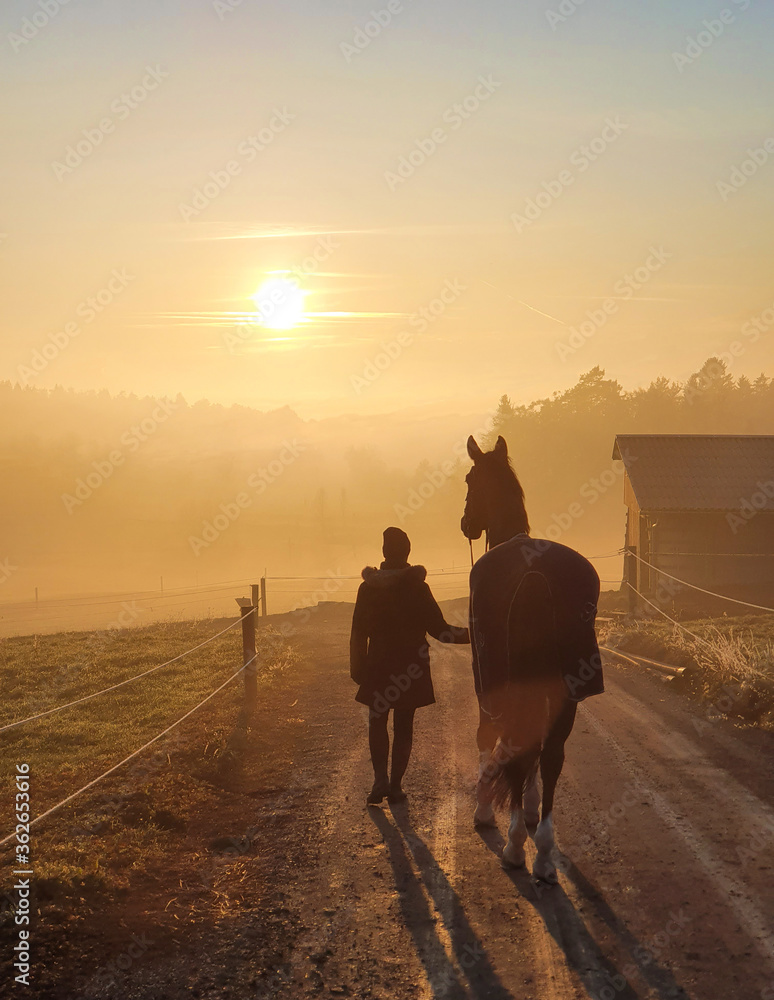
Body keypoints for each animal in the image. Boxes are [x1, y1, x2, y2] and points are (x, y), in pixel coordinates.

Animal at [464, 434, 604, 880]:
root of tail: (535, 573)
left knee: (515, 746)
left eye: (470, 479)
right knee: (551, 755)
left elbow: (486, 739)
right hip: (568, 693)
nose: (465, 523)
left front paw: (486, 808)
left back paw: (513, 847)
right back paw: (542, 851)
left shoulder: (484, 684)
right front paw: (527, 807)